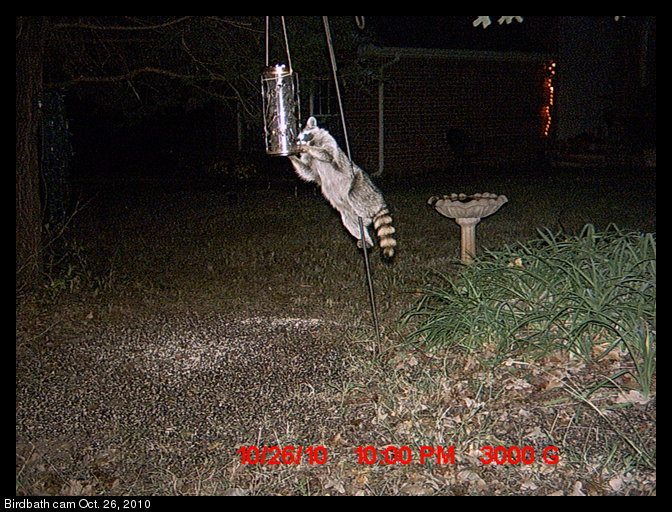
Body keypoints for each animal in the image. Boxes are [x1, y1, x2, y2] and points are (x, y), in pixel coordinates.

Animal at [288, 116, 397, 259]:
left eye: (305, 135)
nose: (296, 141)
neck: (313, 142)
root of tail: (379, 200)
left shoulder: (328, 141)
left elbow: (326, 154)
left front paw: (304, 147)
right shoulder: (308, 161)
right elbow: (307, 171)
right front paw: (291, 156)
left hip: (361, 185)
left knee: (354, 195)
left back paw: (365, 213)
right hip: (349, 211)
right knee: (350, 222)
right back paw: (366, 239)